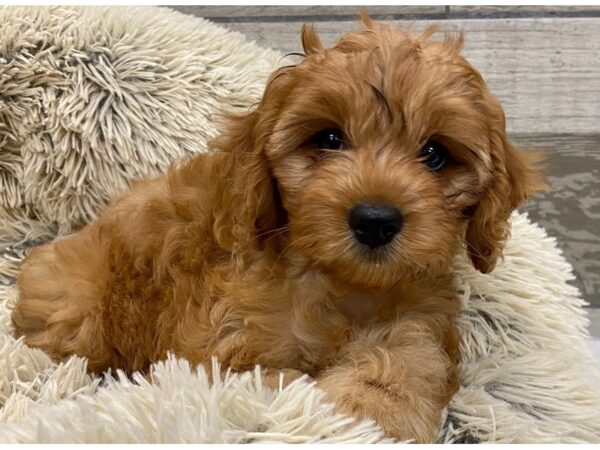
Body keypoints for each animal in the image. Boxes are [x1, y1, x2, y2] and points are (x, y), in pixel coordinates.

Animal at [11, 14, 540, 442]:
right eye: (329, 139)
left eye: (435, 154)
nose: (375, 219)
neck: (340, 283)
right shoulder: (220, 347)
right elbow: (272, 379)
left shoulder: (423, 310)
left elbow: (410, 351)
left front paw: (376, 404)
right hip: (77, 305)